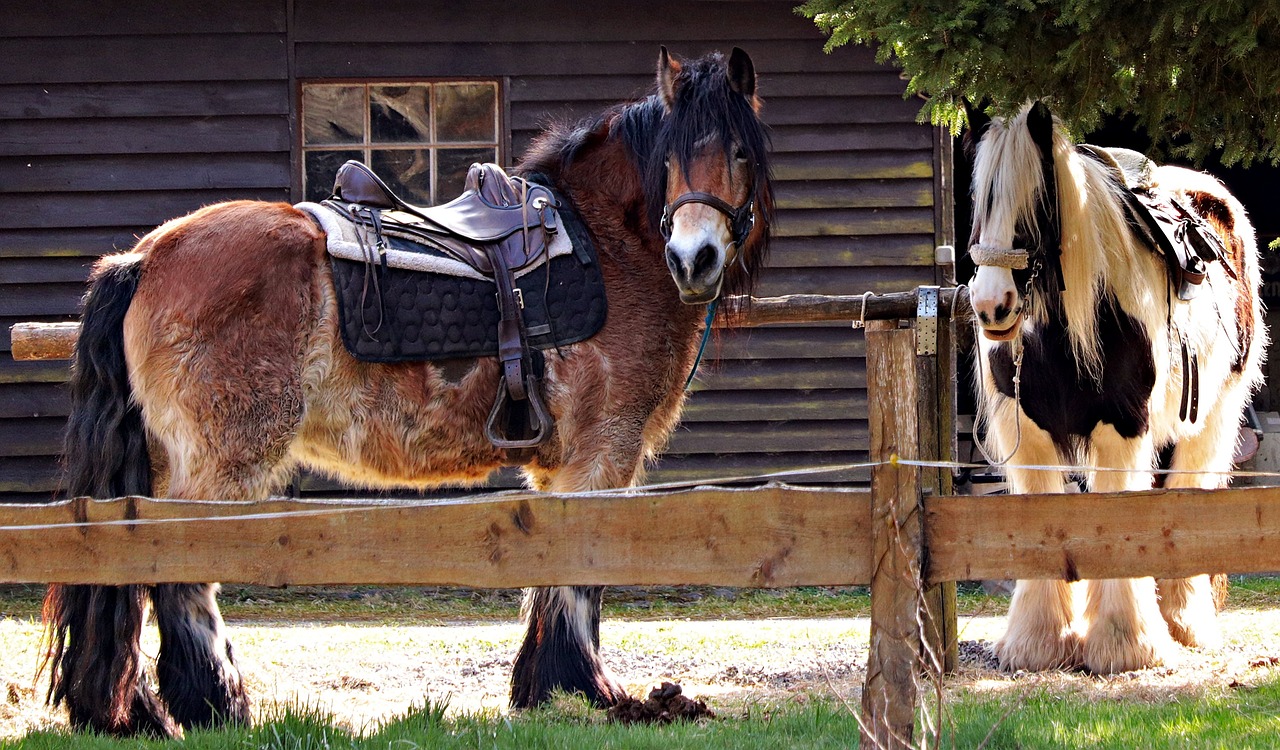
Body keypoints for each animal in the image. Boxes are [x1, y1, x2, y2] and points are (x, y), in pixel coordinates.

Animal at [40, 46, 774, 737]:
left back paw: (137, 711)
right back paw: (217, 705)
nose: (694, 260)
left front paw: (541, 690)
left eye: (738, 150)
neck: (608, 242)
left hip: (161, 462)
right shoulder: (602, 451)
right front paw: (584, 690)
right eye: (672, 158)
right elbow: (580, 571)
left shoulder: (562, 465)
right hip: (221, 464)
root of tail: (144, 258)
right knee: (179, 573)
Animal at [964, 101, 1265, 674]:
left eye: (1035, 203)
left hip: (1211, 420)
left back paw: (1181, 623)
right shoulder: (1030, 437)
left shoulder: (1122, 428)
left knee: (1187, 492)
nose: (991, 306)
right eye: (979, 203)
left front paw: (1126, 644)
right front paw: (1038, 642)